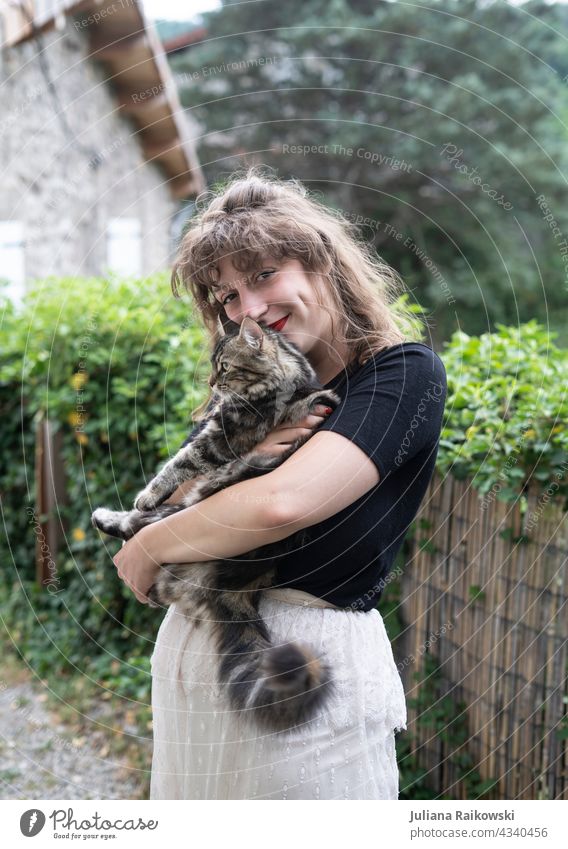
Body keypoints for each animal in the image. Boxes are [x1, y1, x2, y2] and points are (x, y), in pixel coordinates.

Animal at [92, 314, 340, 732]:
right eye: (212, 365)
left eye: (224, 367)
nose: (210, 384)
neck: (288, 376)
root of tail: (237, 587)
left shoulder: (217, 441)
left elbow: (176, 464)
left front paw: (147, 491)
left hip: (190, 506)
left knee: (140, 524)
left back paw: (108, 516)